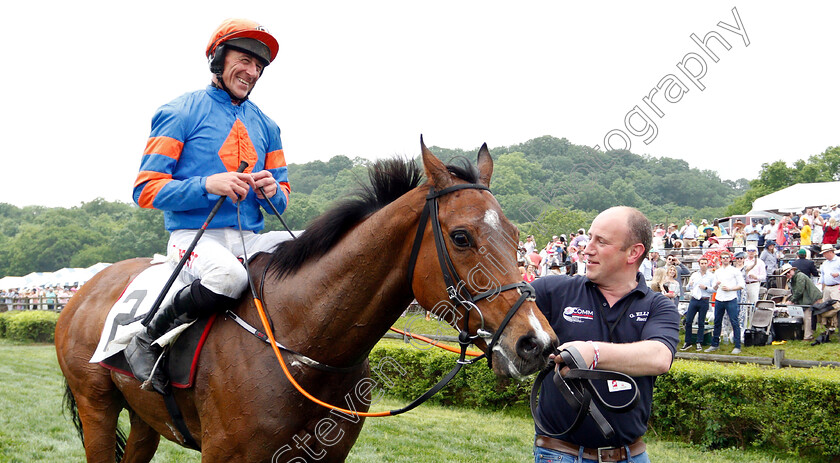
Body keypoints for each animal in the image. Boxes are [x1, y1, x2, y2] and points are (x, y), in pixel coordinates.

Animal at [57, 141, 556, 463]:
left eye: (515, 236)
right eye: (461, 237)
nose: (535, 343)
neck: (303, 341)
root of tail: (85, 289)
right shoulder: (226, 454)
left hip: (146, 416)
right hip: (96, 405)